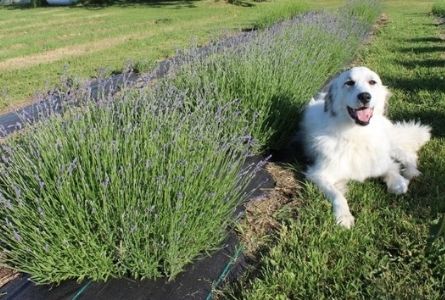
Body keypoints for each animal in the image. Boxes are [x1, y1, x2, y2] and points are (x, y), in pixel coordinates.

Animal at [300, 66, 428, 227]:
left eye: (372, 82)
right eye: (349, 83)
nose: (365, 96)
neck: (357, 134)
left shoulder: (382, 162)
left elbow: (392, 171)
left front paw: (399, 183)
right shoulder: (318, 175)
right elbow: (338, 195)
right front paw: (344, 216)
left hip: (391, 143)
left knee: (407, 154)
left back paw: (411, 171)